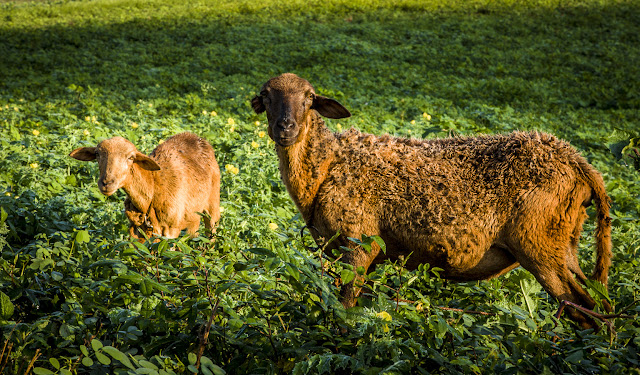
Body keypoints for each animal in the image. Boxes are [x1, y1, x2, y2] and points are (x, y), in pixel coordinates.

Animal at [69, 132, 221, 241]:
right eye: (97, 154)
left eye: (131, 157)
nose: (107, 183)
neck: (154, 187)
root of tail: (197, 138)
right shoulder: (137, 229)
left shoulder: (171, 230)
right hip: (194, 215)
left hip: (212, 205)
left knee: (211, 234)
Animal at [251, 72, 616, 328]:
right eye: (266, 97)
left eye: (310, 98)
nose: (286, 128)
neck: (328, 166)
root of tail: (577, 162)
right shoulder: (355, 252)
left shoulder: (360, 244)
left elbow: (345, 308)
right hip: (564, 244)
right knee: (602, 306)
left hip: (539, 245)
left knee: (587, 309)